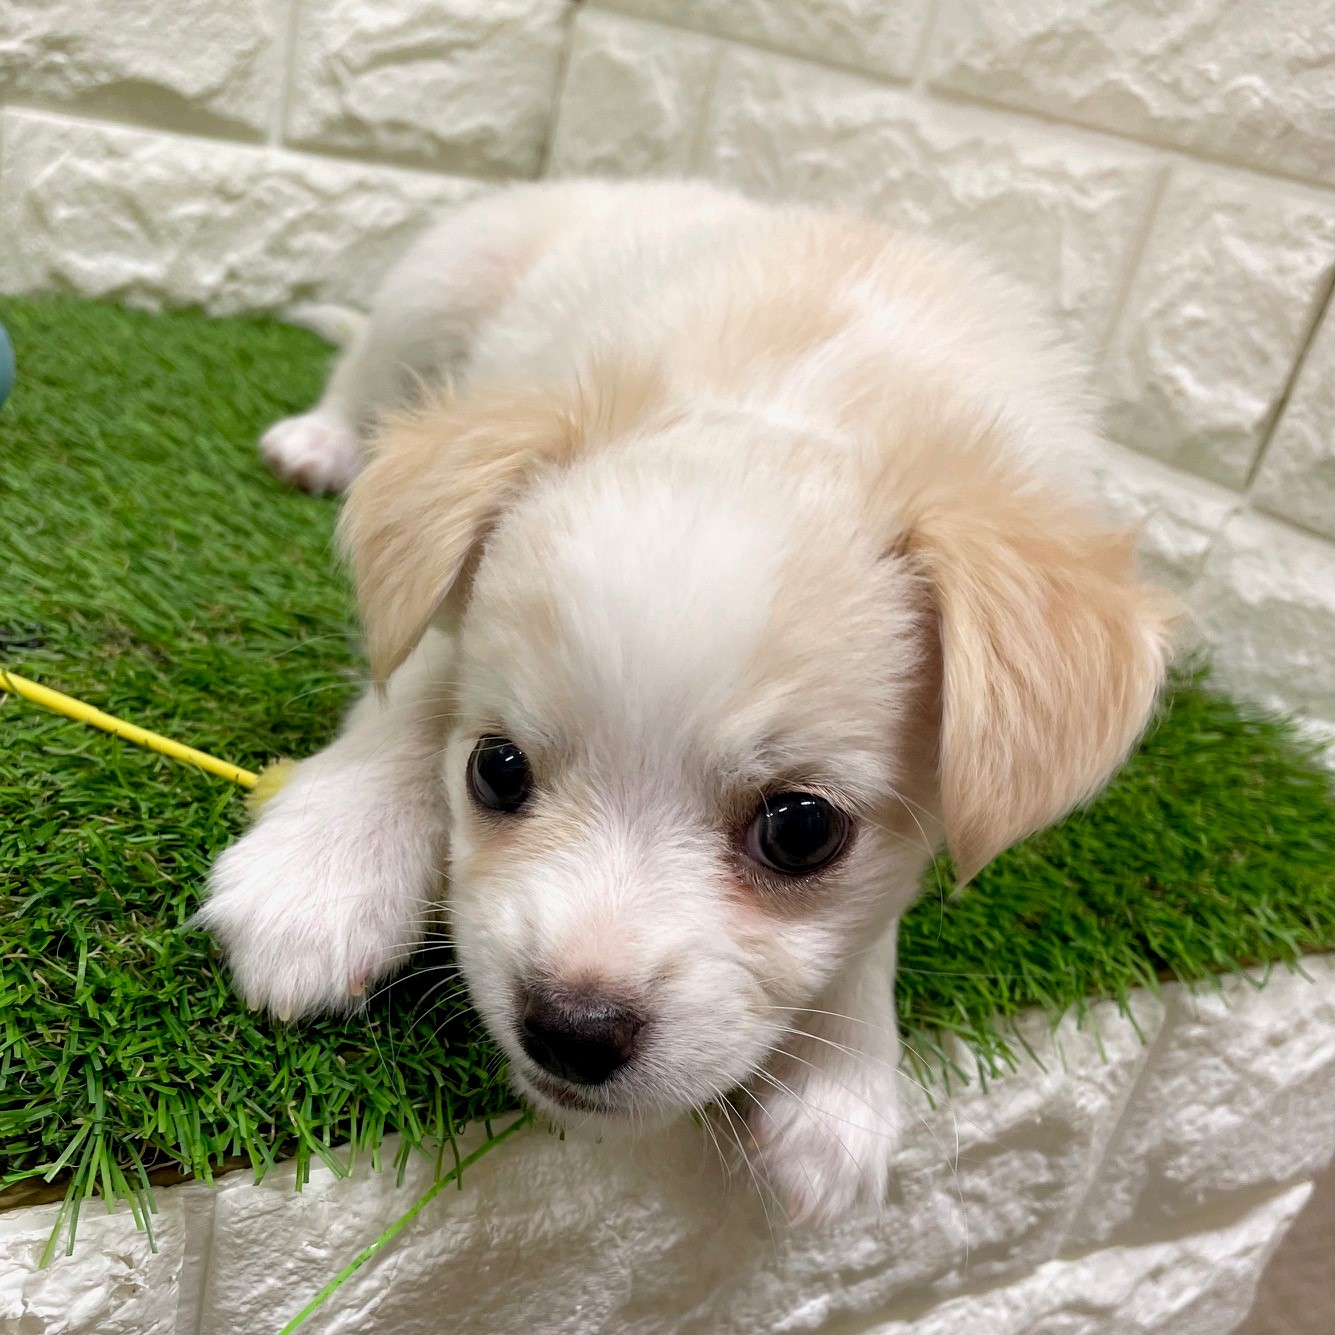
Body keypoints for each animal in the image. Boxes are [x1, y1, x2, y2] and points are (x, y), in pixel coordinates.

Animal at [197, 182, 1169, 1222]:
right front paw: (322, 875)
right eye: (495, 770)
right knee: (366, 370)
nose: (571, 1029)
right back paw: (321, 440)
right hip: (440, 285)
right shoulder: (447, 616)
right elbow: (413, 695)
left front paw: (841, 1070)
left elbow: (875, 921)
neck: (799, 401)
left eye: (802, 831)